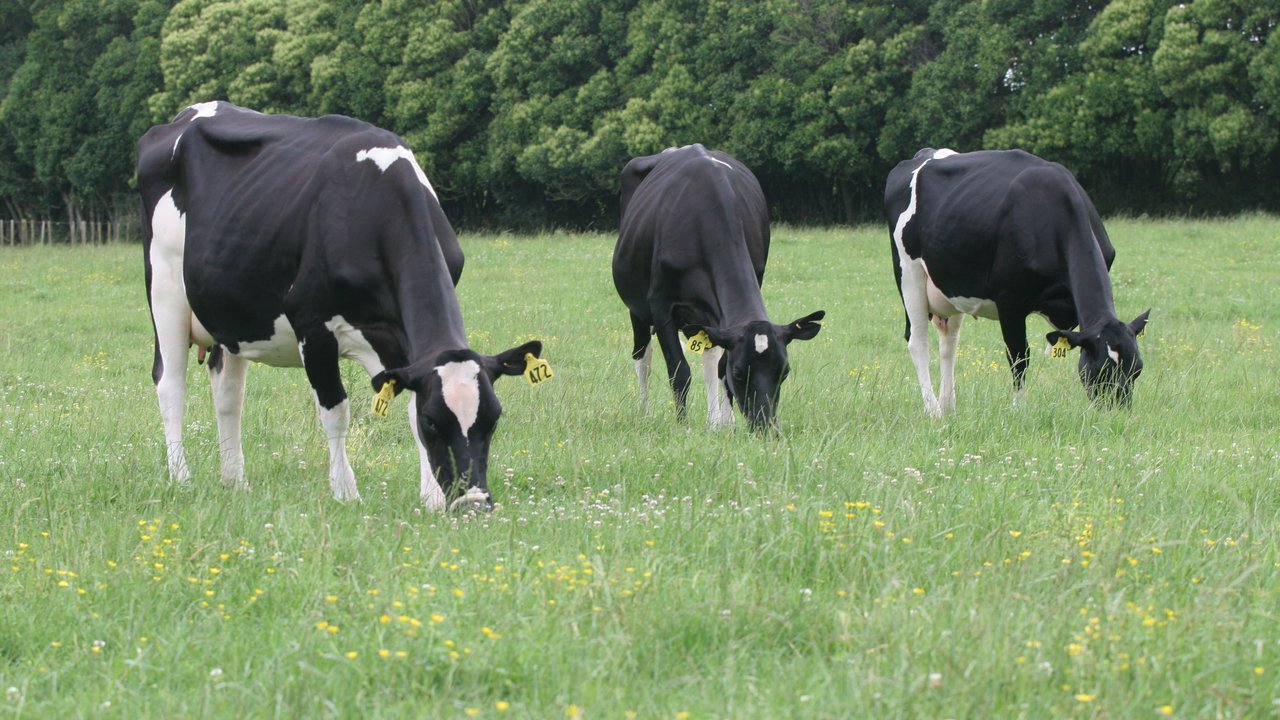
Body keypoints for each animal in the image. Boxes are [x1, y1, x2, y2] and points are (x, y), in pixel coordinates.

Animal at [136, 101, 545, 509]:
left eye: (493, 418)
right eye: (434, 420)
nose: (474, 502)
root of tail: (187, 114)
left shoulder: (399, 342)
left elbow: (407, 405)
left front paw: (430, 498)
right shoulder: (312, 325)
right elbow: (336, 411)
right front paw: (346, 494)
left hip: (230, 314)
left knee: (228, 392)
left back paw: (236, 481)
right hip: (165, 288)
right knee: (170, 384)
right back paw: (182, 478)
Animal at [606, 142, 819, 427]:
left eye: (784, 372)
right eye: (739, 372)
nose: (765, 425)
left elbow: (719, 367)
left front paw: (725, 424)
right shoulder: (661, 305)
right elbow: (679, 370)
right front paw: (683, 426)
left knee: (709, 358)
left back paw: (715, 420)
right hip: (637, 307)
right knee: (642, 357)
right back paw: (644, 412)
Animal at [890, 146, 1152, 415]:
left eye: (1137, 369)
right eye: (1100, 370)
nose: (1118, 412)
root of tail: (926, 153)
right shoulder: (1010, 301)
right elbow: (1019, 355)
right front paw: (1018, 409)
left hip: (950, 286)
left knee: (949, 343)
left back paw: (948, 405)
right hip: (908, 273)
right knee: (918, 342)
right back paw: (933, 410)